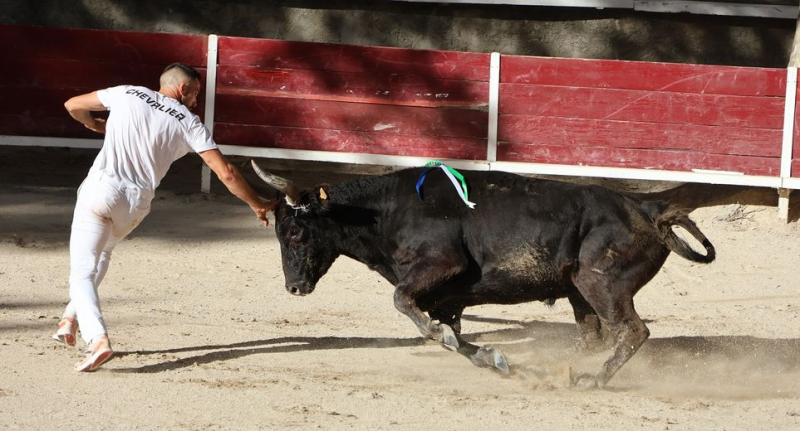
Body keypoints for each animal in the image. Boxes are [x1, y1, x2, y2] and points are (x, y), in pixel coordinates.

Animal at [253, 163, 716, 392]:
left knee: (633, 331)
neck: (383, 212)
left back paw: (592, 381)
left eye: (295, 232)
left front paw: (456, 342)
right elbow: (452, 336)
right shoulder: (446, 299)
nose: (294, 287)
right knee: (595, 337)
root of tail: (650, 210)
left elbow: (405, 304)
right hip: (579, 292)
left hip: (600, 284)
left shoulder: (440, 267)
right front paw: (492, 359)